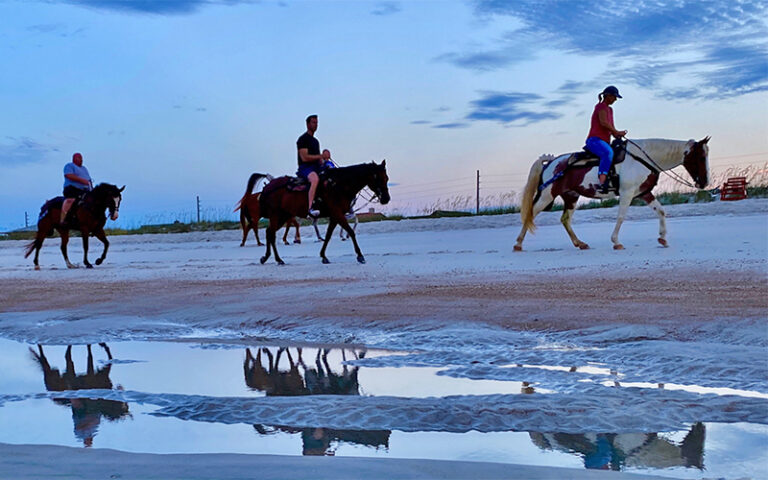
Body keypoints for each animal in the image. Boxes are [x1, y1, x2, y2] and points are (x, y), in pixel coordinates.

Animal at [258, 161, 390, 266]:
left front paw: (323, 256)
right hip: (276, 215)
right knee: (272, 234)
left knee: (269, 232)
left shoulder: (335, 216)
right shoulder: (338, 214)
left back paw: (267, 257)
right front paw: (360, 255)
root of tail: (267, 187)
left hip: (283, 216)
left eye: (387, 178)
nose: (386, 198)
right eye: (378, 178)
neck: (339, 185)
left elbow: (328, 235)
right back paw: (278, 259)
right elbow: (351, 232)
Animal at [512, 137, 712, 251]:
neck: (643, 158)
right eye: (701, 157)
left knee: (565, 219)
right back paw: (518, 244)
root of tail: (551, 162)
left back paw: (580, 243)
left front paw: (663, 238)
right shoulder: (627, 193)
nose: (704, 182)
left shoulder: (644, 193)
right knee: (530, 213)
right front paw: (616, 242)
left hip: (571, 196)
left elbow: (661, 211)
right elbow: (621, 216)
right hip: (547, 195)